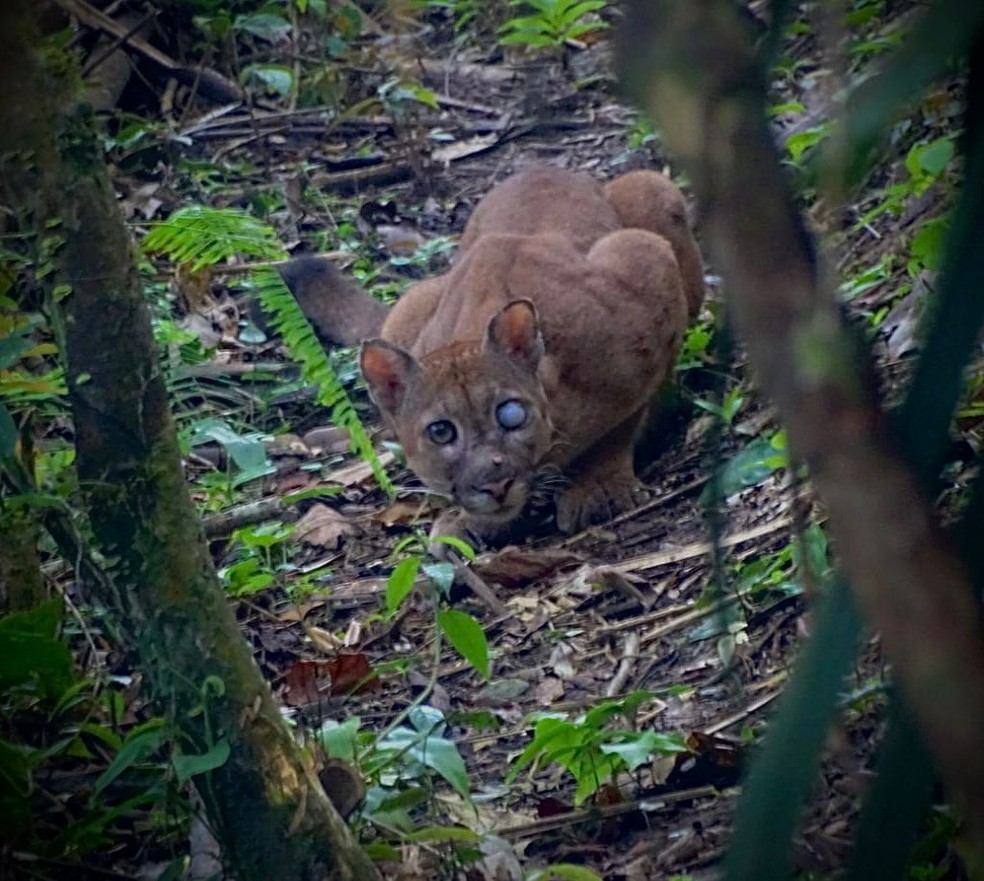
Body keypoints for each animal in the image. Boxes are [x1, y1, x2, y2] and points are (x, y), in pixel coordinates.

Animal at [280, 168, 704, 548]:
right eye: (441, 432)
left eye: (511, 414)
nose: (495, 484)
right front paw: (469, 523)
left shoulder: (643, 267)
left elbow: (621, 420)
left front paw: (599, 485)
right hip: (410, 304)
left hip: (653, 190)